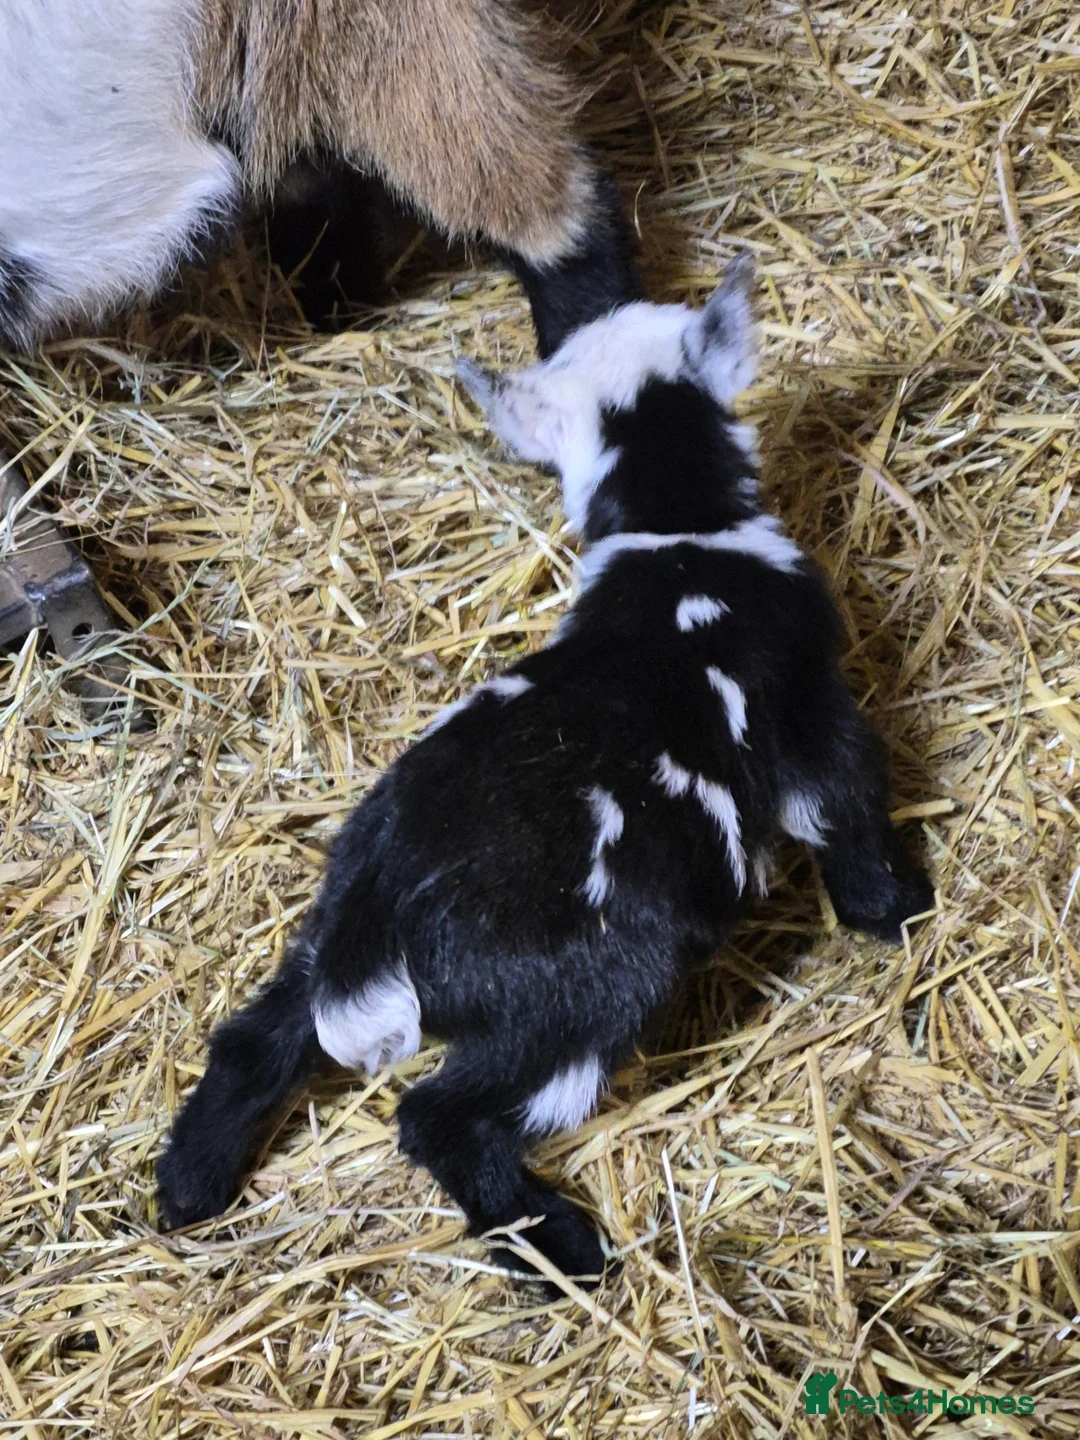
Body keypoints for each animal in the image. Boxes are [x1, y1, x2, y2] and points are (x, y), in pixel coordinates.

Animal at [157, 256, 934, 1287]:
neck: (675, 534)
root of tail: (383, 909)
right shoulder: (811, 706)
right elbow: (848, 808)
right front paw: (902, 912)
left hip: (323, 929)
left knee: (258, 1037)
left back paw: (187, 1188)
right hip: (580, 993)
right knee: (437, 1115)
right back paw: (560, 1246)